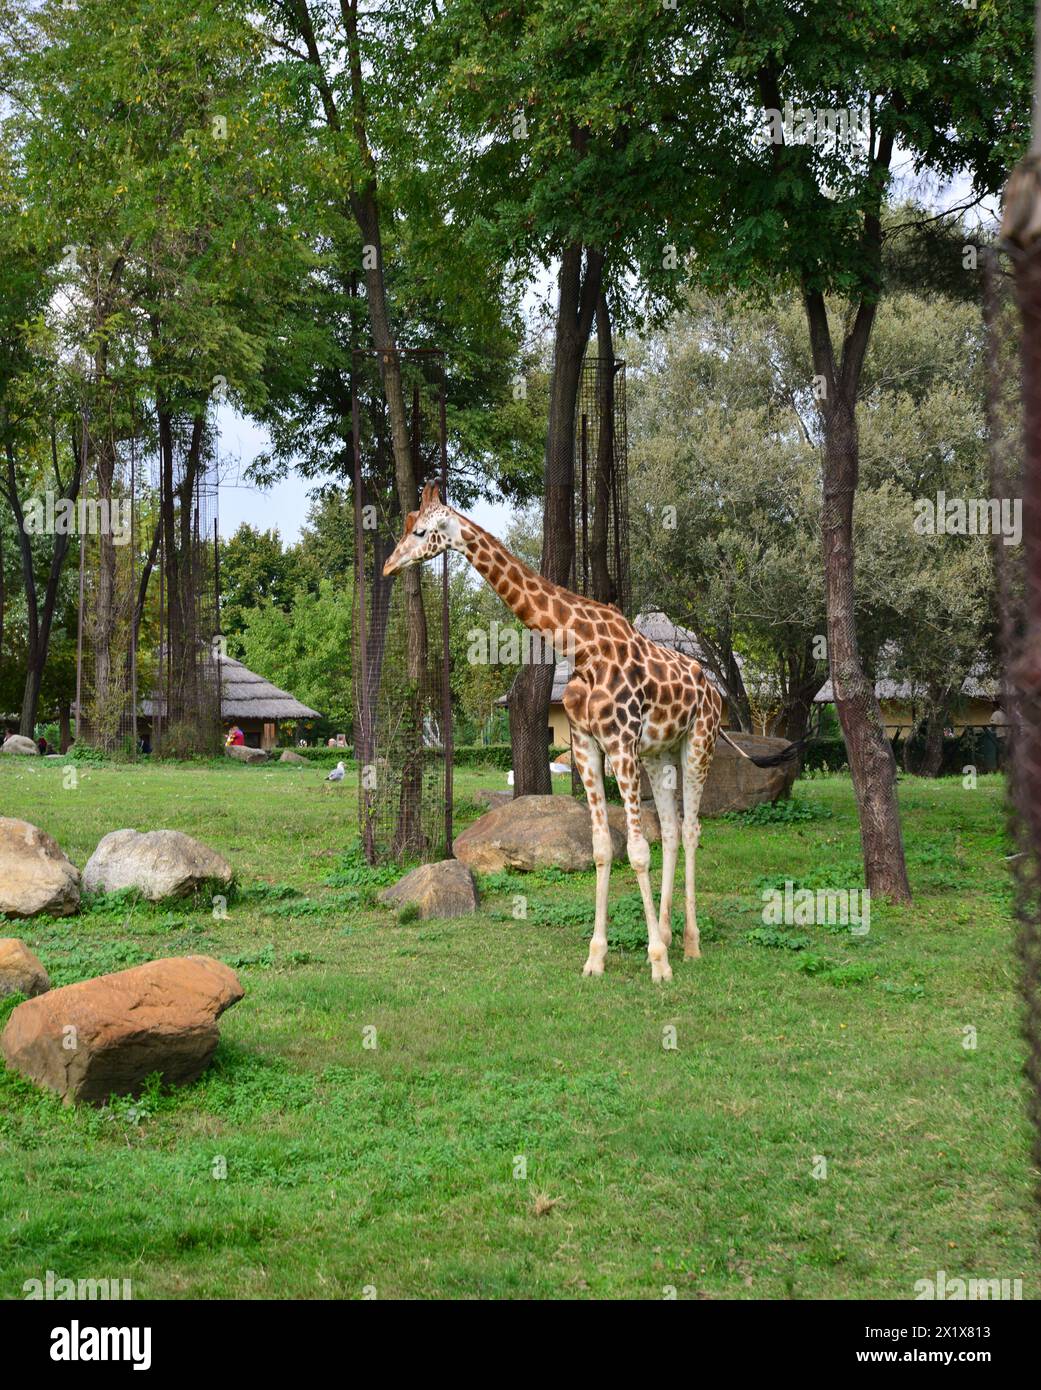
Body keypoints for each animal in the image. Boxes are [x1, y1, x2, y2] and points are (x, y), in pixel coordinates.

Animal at [380, 483, 794, 984]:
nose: (388, 565)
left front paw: (658, 962)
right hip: (659, 753)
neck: (579, 645)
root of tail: (714, 692)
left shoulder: (620, 742)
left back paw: (689, 944)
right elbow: (601, 848)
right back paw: (670, 932)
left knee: (693, 829)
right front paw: (598, 957)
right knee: (672, 830)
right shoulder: (586, 745)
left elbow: (636, 850)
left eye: (421, 531)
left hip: (699, 743)